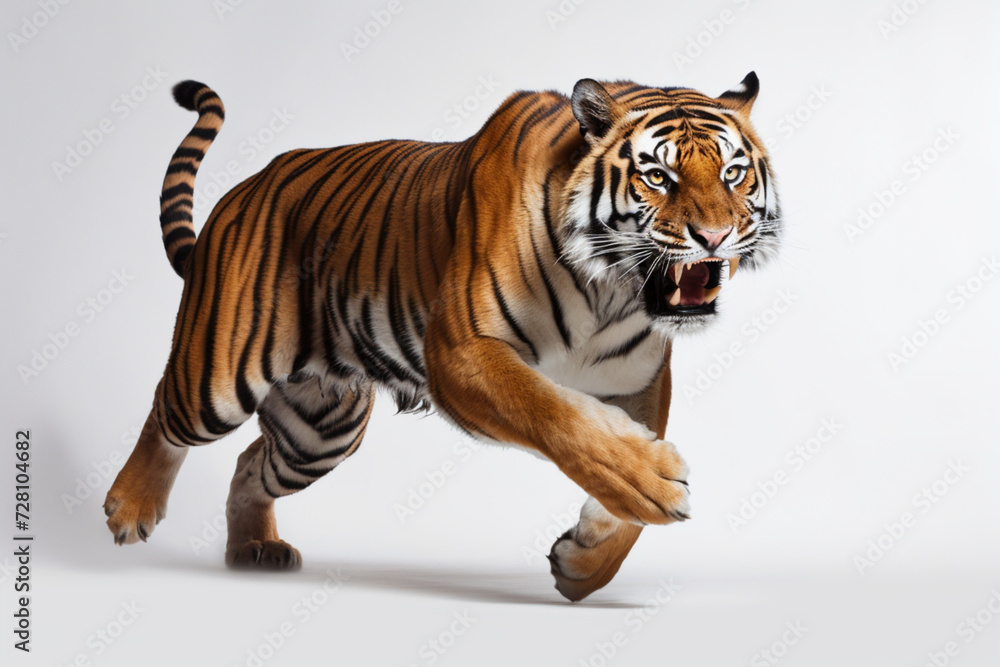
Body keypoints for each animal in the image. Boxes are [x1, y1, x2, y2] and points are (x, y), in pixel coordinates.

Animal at [104, 73, 780, 601]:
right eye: (659, 177)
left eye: (733, 173)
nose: (715, 236)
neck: (610, 290)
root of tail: (245, 190)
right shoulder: (462, 353)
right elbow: (562, 421)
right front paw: (654, 485)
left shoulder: (637, 382)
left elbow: (621, 489)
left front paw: (584, 565)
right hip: (218, 375)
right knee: (167, 409)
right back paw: (130, 507)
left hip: (319, 428)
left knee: (250, 464)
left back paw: (253, 550)